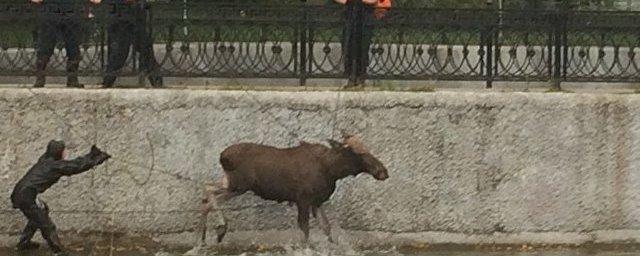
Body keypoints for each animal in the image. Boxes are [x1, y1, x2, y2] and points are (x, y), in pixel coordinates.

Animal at [201, 134, 390, 244]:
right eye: (357, 152)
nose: (383, 171)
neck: (332, 171)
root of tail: (222, 156)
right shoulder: (303, 200)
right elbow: (305, 232)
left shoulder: (317, 202)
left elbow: (327, 229)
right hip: (239, 185)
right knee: (210, 198)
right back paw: (218, 231)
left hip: (232, 183)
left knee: (207, 191)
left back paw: (207, 237)